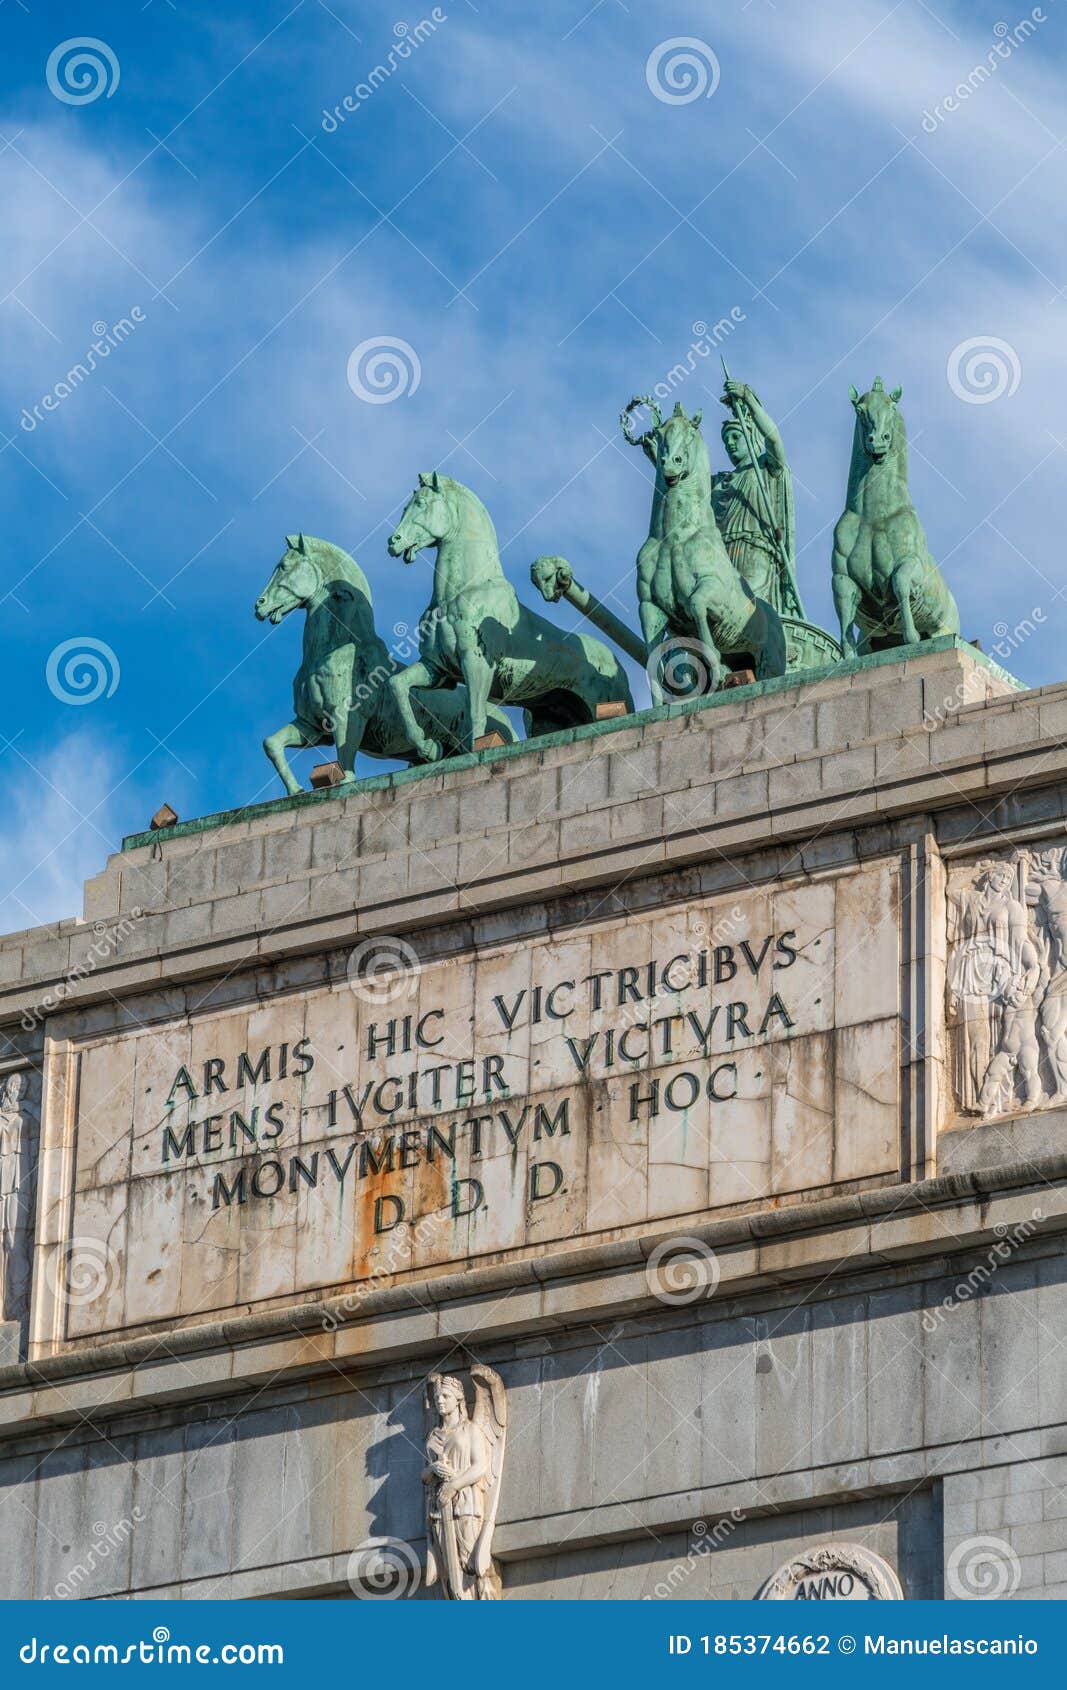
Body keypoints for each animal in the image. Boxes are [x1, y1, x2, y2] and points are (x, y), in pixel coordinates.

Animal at [255, 530, 514, 794]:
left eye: (284, 566)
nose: (259, 605)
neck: (329, 651)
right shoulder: (312, 725)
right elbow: (271, 744)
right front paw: (295, 790)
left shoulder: (345, 715)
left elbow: (345, 753)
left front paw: (345, 782)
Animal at [385, 463, 629, 753]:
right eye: (405, 507)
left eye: (421, 503)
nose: (393, 541)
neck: (460, 592)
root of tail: (615, 663)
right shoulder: (438, 668)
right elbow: (397, 683)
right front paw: (426, 745)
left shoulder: (476, 661)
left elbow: (476, 713)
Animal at [625, 397, 784, 699]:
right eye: (660, 434)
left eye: (690, 432)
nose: (670, 465)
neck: (674, 537)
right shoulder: (649, 606)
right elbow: (652, 656)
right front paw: (661, 701)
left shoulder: (712, 591)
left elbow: (696, 604)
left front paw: (717, 669)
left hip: (769, 661)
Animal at [831, 380, 967, 655]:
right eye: (860, 410)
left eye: (892, 407)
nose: (878, 442)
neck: (872, 516)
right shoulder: (842, 578)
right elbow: (845, 611)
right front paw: (846, 655)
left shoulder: (912, 564)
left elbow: (900, 582)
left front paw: (911, 636)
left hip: (944, 629)